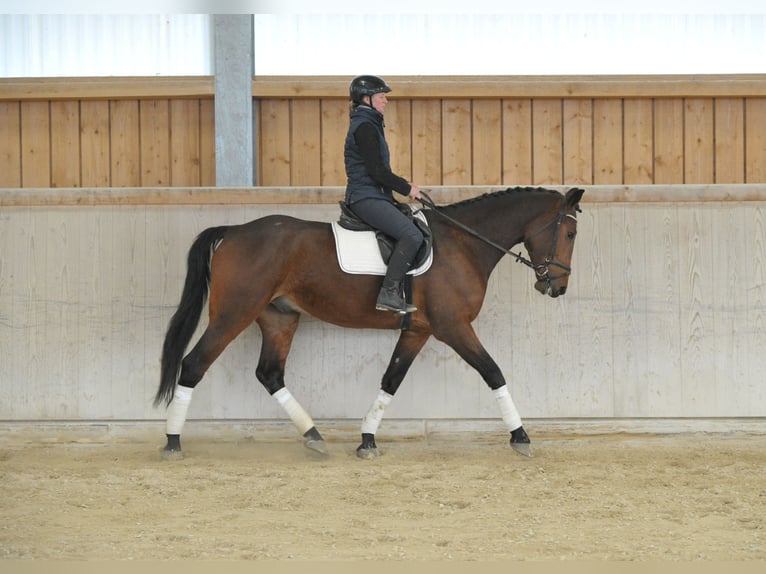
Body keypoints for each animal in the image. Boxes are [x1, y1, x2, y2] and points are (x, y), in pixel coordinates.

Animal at [155, 186, 585, 460]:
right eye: (569, 232)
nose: (557, 286)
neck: (463, 244)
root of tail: (233, 232)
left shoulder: (418, 331)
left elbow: (390, 380)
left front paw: (366, 440)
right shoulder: (453, 327)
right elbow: (493, 372)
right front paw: (521, 437)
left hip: (279, 318)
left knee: (270, 374)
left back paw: (314, 436)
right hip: (234, 313)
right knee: (193, 365)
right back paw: (173, 442)